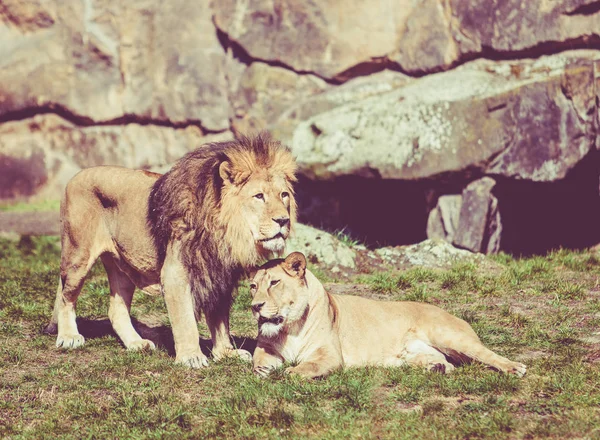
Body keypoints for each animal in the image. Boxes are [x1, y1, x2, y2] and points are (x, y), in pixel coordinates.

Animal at [43, 134, 296, 368]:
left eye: (284, 195)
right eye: (259, 196)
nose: (283, 220)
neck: (225, 231)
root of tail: (77, 175)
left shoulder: (218, 276)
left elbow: (220, 320)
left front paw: (225, 353)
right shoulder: (176, 273)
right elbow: (185, 320)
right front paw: (191, 357)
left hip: (121, 267)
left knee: (115, 309)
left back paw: (136, 343)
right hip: (78, 256)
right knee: (66, 295)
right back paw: (69, 337)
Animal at [248, 253, 524, 380]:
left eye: (274, 283)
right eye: (253, 286)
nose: (255, 306)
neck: (288, 328)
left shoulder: (330, 355)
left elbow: (308, 366)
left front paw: (289, 372)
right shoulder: (265, 347)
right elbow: (257, 360)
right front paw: (263, 371)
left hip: (449, 336)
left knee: (485, 354)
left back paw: (515, 367)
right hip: (410, 355)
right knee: (447, 363)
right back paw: (436, 367)